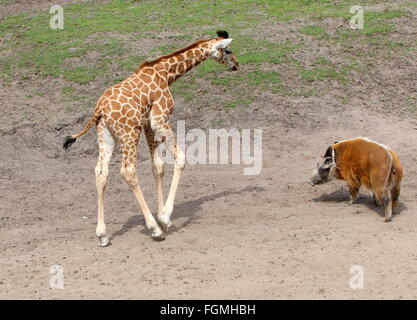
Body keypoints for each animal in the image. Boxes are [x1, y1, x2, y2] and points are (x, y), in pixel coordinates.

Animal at [61, 30, 237, 246]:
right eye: (228, 50)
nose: (236, 65)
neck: (165, 74)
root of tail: (99, 109)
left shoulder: (147, 124)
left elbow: (157, 166)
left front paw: (164, 218)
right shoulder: (159, 119)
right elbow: (180, 159)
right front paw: (164, 218)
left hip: (105, 135)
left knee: (101, 171)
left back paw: (102, 235)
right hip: (129, 133)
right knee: (127, 170)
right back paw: (153, 228)